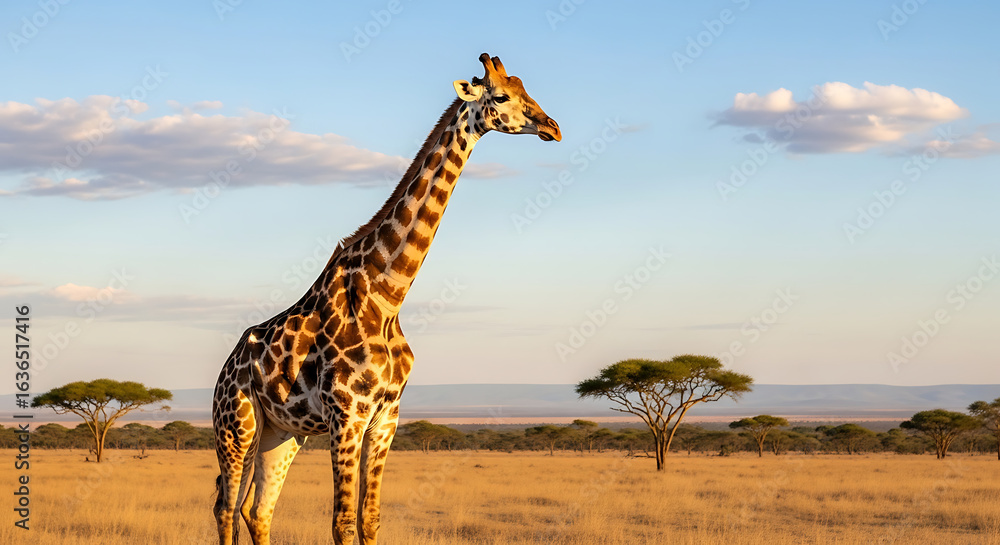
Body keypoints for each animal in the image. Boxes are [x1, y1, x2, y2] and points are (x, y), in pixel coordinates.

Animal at [211, 53, 561, 545]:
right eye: (500, 96)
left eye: (526, 89)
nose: (553, 127)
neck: (387, 296)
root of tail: (225, 369)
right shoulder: (347, 416)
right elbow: (341, 522)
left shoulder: (386, 417)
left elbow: (370, 517)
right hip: (235, 426)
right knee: (225, 507)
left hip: (281, 434)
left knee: (257, 511)